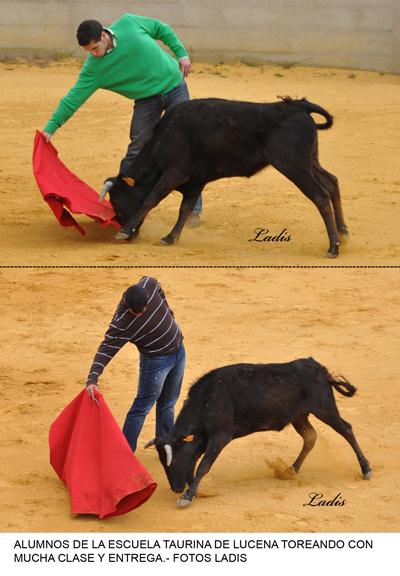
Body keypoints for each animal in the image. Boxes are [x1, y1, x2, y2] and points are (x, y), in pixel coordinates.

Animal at [103, 97, 346, 256]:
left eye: (117, 202)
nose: (132, 236)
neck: (163, 138)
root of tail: (298, 105)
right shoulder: (195, 182)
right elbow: (185, 209)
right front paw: (170, 237)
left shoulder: (173, 174)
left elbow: (150, 200)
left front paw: (123, 231)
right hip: (309, 162)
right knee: (332, 182)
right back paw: (343, 233)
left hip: (294, 165)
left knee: (320, 195)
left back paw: (333, 247)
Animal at [148, 358, 370, 506]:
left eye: (173, 460)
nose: (175, 488)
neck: (207, 399)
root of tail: (319, 368)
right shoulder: (205, 439)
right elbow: (198, 463)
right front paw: (192, 491)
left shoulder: (220, 436)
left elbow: (203, 466)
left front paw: (186, 497)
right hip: (299, 417)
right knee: (310, 437)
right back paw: (290, 470)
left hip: (325, 409)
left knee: (346, 430)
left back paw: (366, 469)